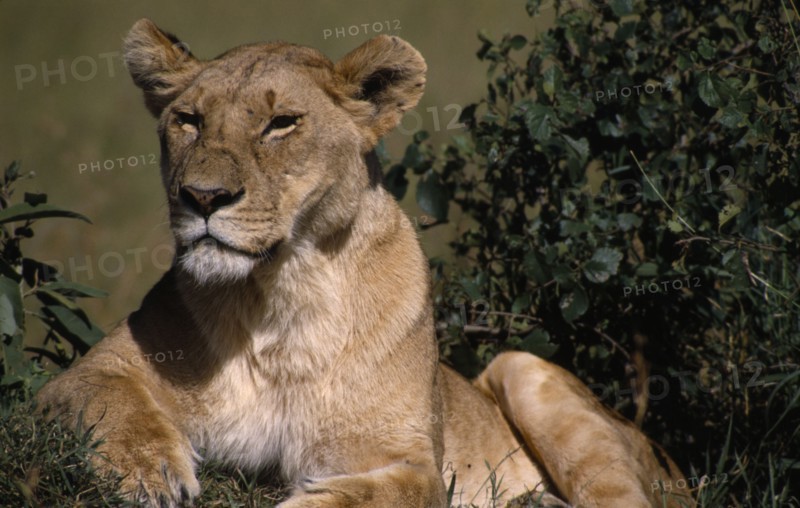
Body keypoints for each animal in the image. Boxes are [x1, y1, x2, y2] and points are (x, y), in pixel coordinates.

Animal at [36, 19, 693, 508]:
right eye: (188, 120)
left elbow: (370, 493)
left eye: (281, 123)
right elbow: (108, 400)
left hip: (525, 370)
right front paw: (152, 474)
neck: (281, 293)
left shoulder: (409, 461)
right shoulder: (87, 373)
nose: (201, 197)